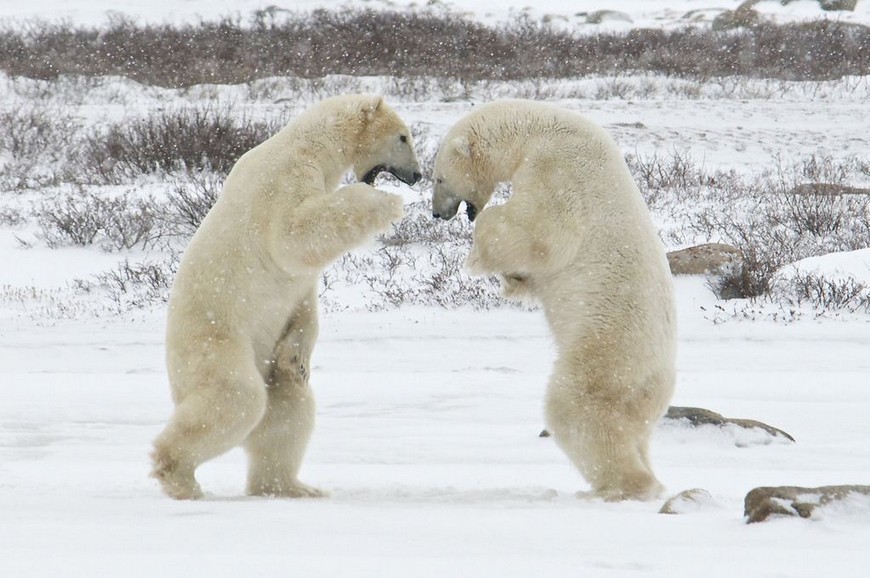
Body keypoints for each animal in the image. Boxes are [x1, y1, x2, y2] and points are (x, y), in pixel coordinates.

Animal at [152, 94, 424, 500]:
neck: (309, 144)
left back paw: (292, 487)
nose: (418, 175)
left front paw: (298, 358)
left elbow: (303, 296)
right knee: (237, 398)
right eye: (403, 136)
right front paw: (386, 202)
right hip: (215, 342)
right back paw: (180, 478)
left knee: (287, 409)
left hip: (260, 358)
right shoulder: (283, 181)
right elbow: (295, 234)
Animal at [432, 100, 676, 500]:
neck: (537, 130)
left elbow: (537, 230)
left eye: (438, 179)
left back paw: (617, 487)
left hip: (605, 357)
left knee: (577, 411)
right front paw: (514, 280)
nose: (437, 212)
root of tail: (657, 386)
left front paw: (480, 251)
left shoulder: (559, 170)